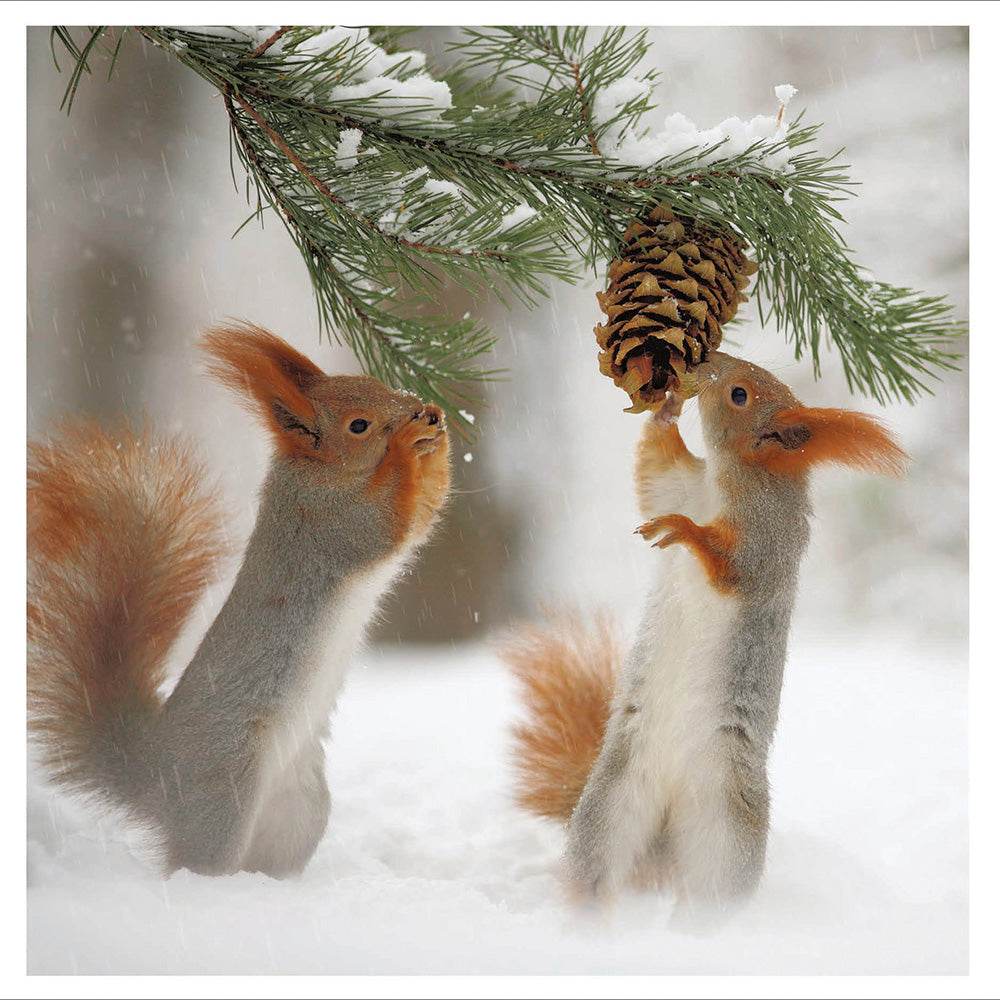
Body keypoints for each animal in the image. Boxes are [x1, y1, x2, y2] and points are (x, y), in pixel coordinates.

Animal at [27, 322, 451, 878]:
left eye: (377, 383)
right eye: (358, 425)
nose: (420, 411)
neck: (320, 472)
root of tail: (155, 779)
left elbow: (423, 517)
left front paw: (438, 440)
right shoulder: (330, 521)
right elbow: (386, 527)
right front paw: (406, 446)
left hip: (301, 807)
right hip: (225, 794)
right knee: (199, 861)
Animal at [503, 351, 906, 918]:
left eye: (739, 395)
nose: (708, 359)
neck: (723, 479)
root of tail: (666, 840)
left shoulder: (766, 540)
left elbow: (729, 566)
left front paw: (685, 530)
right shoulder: (679, 482)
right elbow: (652, 473)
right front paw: (666, 404)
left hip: (726, 823)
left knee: (714, 894)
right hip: (612, 801)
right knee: (597, 869)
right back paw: (587, 920)